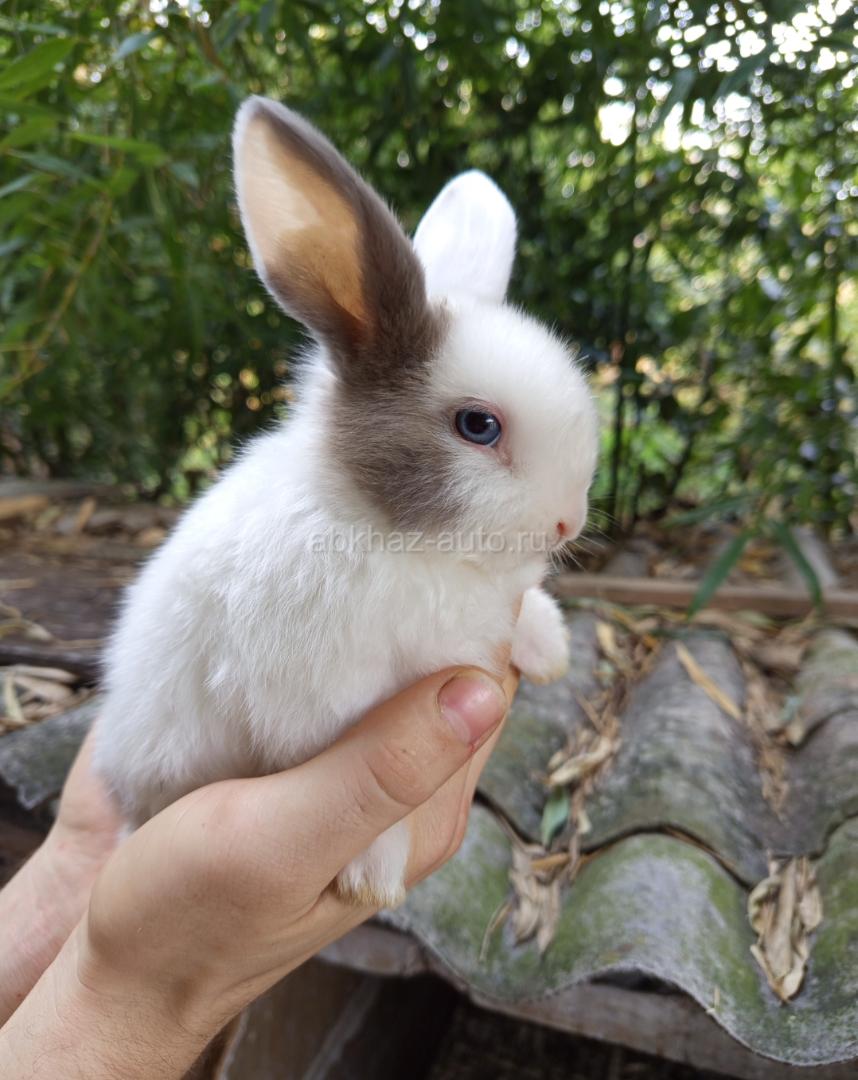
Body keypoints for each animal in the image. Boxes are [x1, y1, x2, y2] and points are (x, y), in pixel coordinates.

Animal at [93, 96, 598, 909]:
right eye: (478, 425)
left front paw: (549, 648)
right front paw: (374, 876)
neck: (395, 535)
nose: (567, 521)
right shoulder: (312, 698)